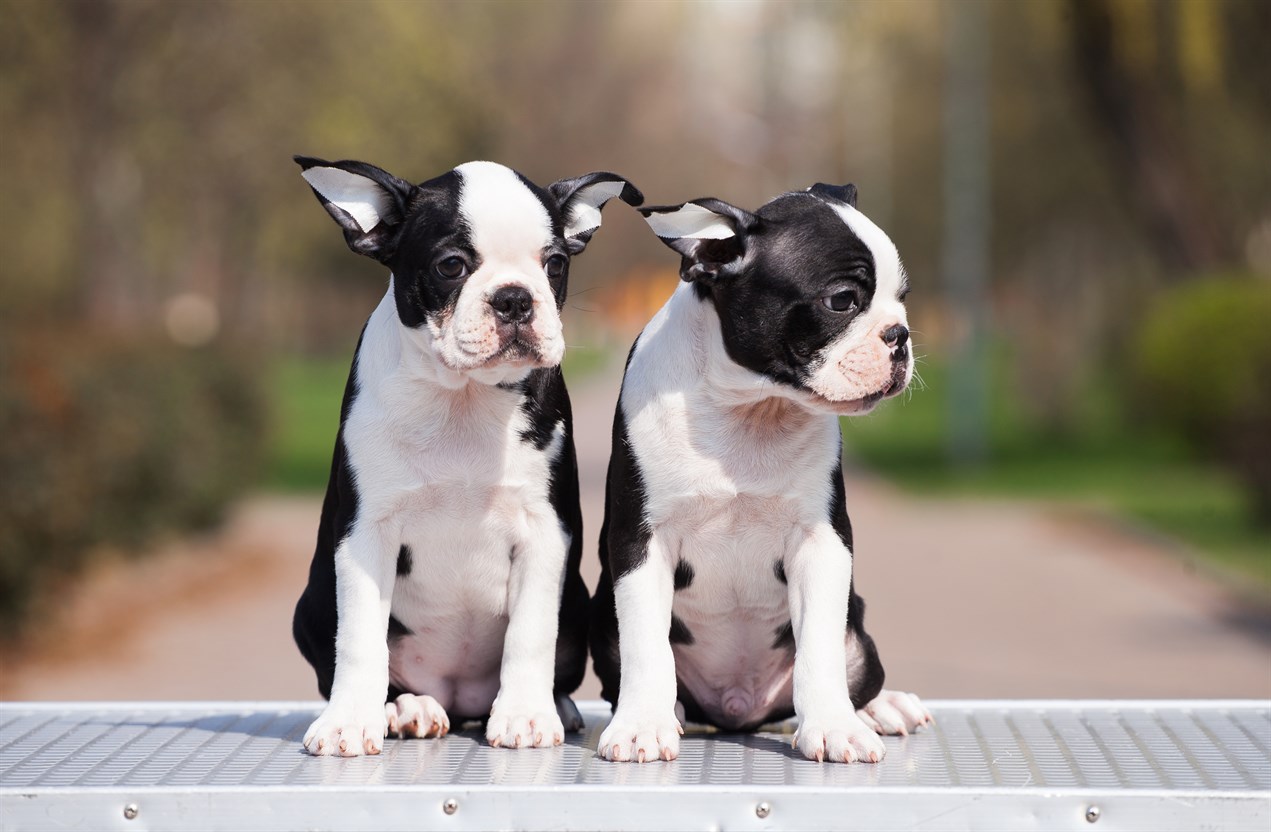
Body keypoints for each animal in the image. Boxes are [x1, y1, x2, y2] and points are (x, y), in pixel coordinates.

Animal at [292, 154, 640, 757]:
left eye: (554, 264)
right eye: (451, 266)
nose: (514, 297)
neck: (464, 398)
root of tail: (458, 695)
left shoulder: (545, 531)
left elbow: (530, 632)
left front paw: (525, 715)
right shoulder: (364, 534)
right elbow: (359, 638)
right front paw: (348, 722)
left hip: (577, 599)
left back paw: (555, 705)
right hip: (311, 603)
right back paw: (406, 707)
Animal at [589, 185, 930, 767]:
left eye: (902, 298)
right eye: (843, 301)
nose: (900, 334)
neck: (752, 409)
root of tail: (738, 710)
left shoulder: (821, 543)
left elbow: (819, 649)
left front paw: (835, 727)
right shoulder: (640, 541)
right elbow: (646, 645)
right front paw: (641, 725)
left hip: (858, 627)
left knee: (856, 668)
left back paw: (884, 706)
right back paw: (670, 711)